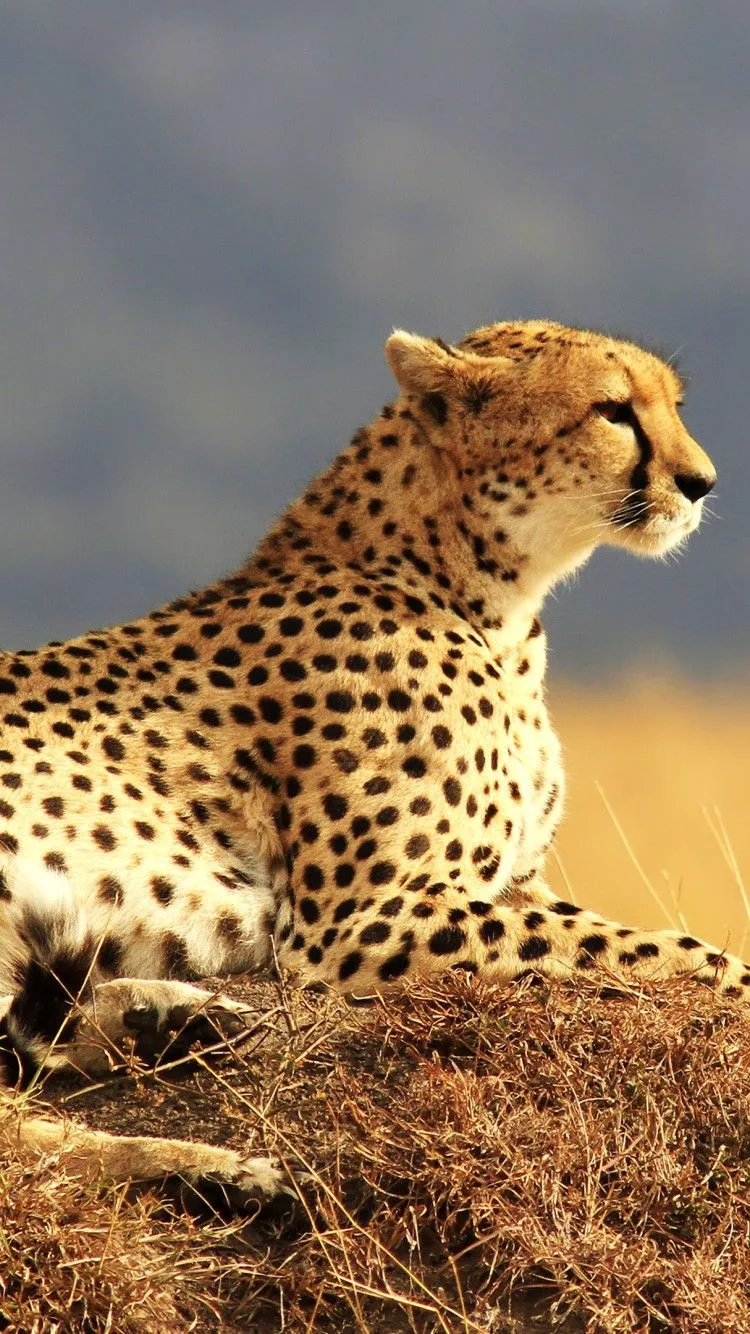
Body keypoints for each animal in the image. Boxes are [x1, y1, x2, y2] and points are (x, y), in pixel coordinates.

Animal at [0, 318, 742, 1210]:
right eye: (613, 411)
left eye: (672, 404)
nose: (701, 483)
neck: (482, 592)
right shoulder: (359, 923)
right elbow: (663, 951)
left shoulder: (509, 885)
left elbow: (624, 936)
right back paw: (219, 1166)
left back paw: (170, 1024)